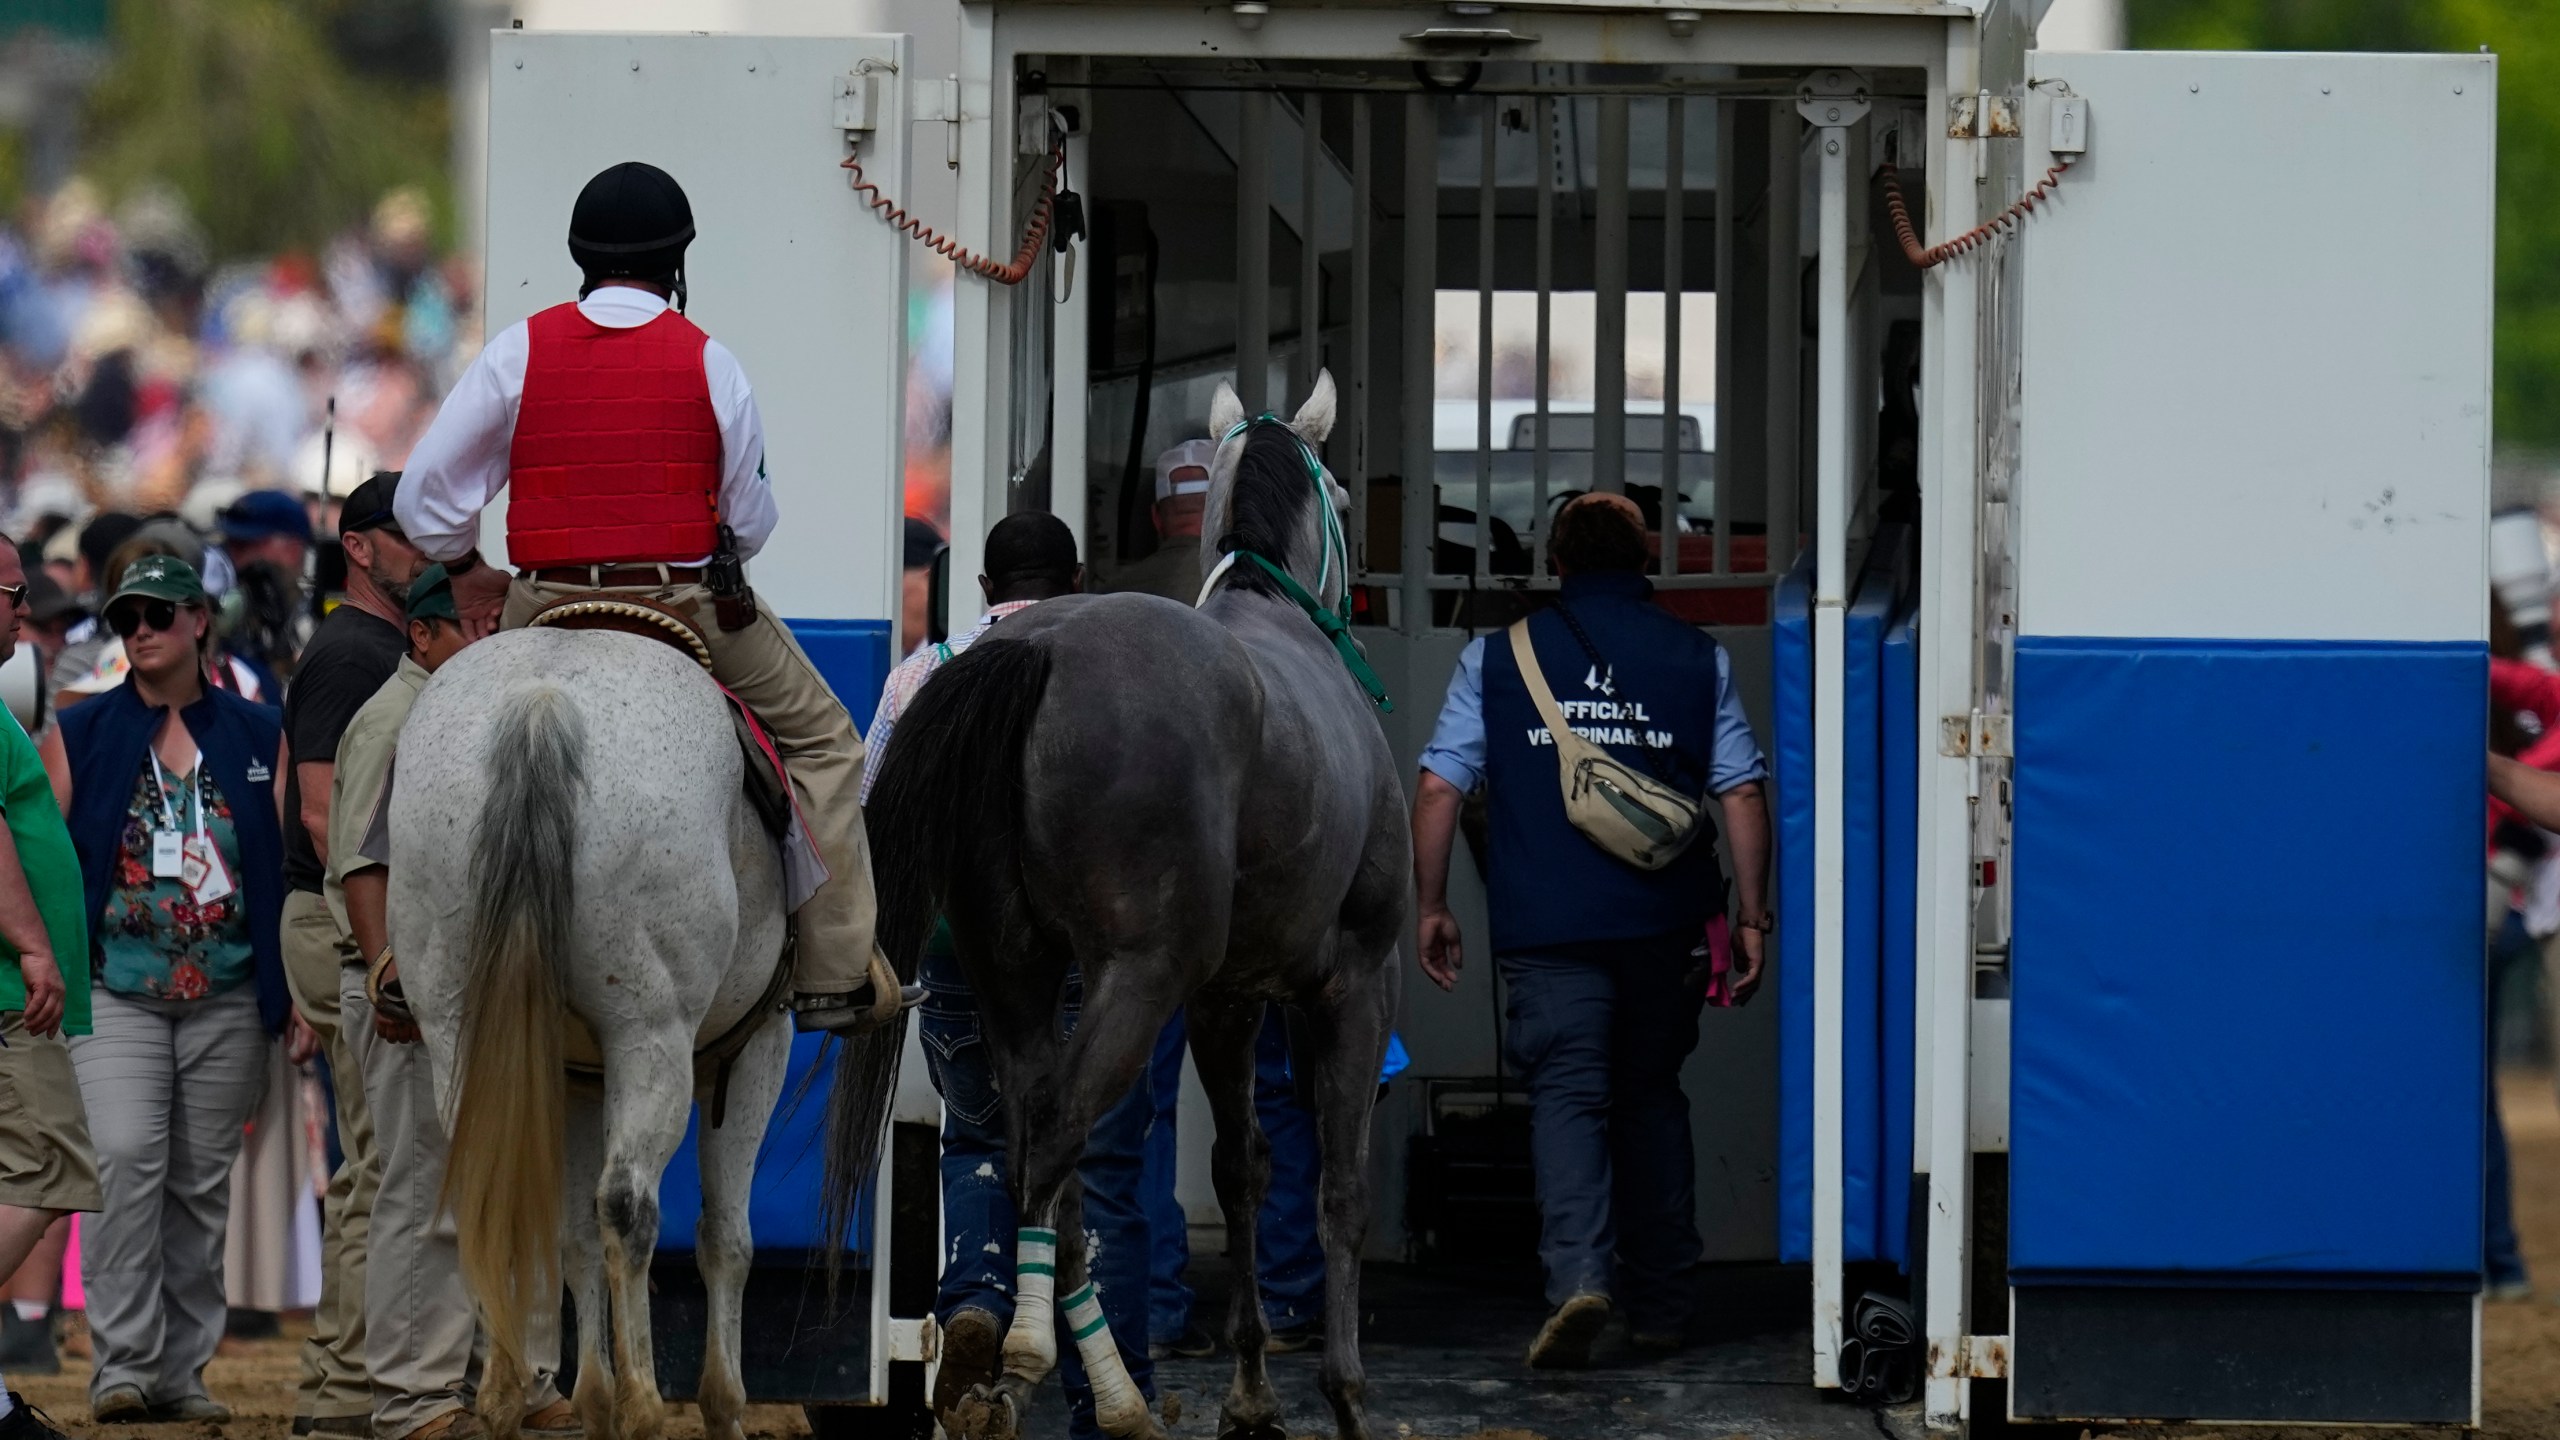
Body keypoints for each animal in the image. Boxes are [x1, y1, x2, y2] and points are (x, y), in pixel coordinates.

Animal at [384, 630, 788, 1434]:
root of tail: (542, 704)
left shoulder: (572, 1077)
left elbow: (570, 1233)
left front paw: (594, 1399)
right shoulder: (756, 1049)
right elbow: (726, 1237)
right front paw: (720, 1404)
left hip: (457, 1027)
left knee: (492, 1188)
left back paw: (504, 1397)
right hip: (650, 1036)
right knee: (629, 1206)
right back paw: (644, 1405)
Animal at [834, 371, 1402, 1434]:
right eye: (1346, 499)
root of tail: (1039, 650)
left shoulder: (1227, 999)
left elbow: (1242, 1168)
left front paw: (1251, 1390)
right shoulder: (1354, 982)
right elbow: (1342, 1187)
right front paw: (1343, 1395)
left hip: (1013, 970)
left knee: (1026, 1144)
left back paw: (1091, 1381)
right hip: (1137, 977)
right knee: (1062, 1127)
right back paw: (1028, 1357)